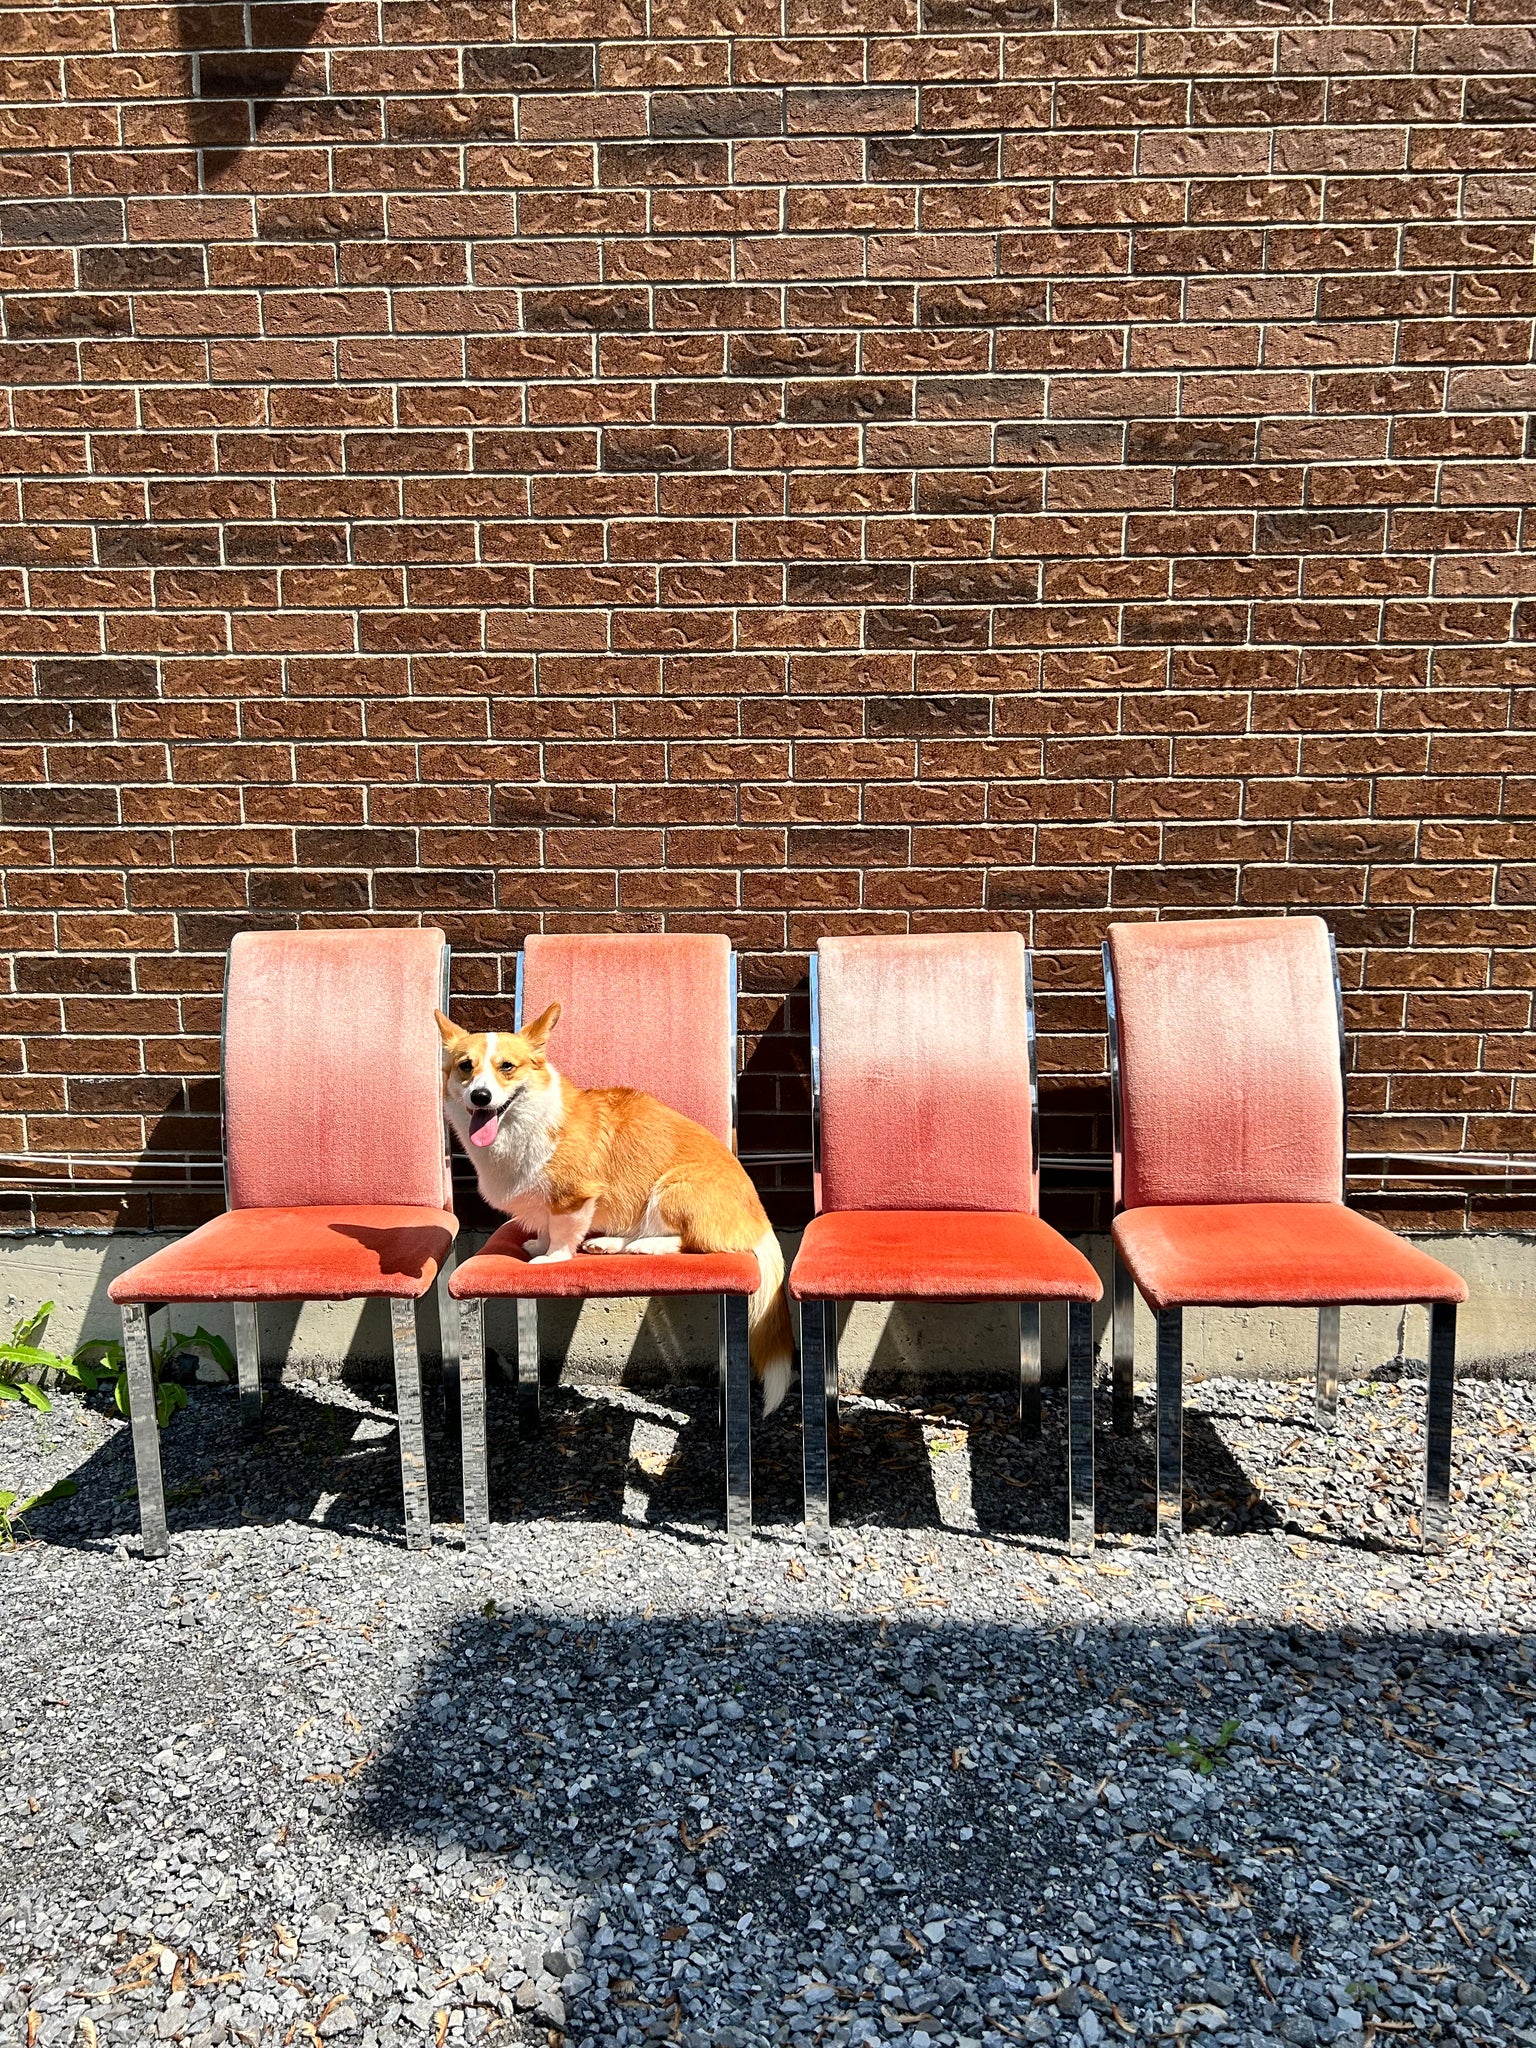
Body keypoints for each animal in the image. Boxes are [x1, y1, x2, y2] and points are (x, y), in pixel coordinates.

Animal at [434, 1003, 794, 1409]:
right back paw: (606, 1244)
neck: (520, 1123)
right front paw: (538, 1243)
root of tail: (759, 1221)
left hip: (671, 1188)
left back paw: (642, 1247)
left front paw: (550, 1258)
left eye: (506, 1067)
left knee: (688, 1241)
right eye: (466, 1065)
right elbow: (544, 1225)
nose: (480, 1096)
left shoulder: (574, 1196)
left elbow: (562, 1232)